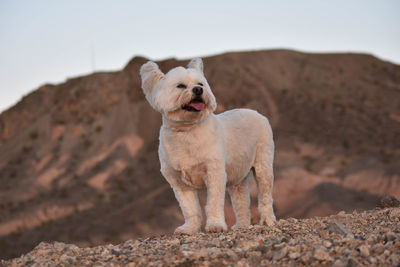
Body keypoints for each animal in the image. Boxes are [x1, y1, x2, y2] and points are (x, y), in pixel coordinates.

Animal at [140, 58, 276, 234]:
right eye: (180, 86)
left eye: (201, 84)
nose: (198, 90)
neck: (188, 129)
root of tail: (257, 113)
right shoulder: (179, 183)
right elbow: (190, 208)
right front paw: (189, 228)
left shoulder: (214, 172)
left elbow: (213, 203)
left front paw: (215, 225)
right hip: (238, 176)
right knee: (241, 200)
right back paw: (242, 225)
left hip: (263, 166)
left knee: (265, 196)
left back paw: (267, 221)